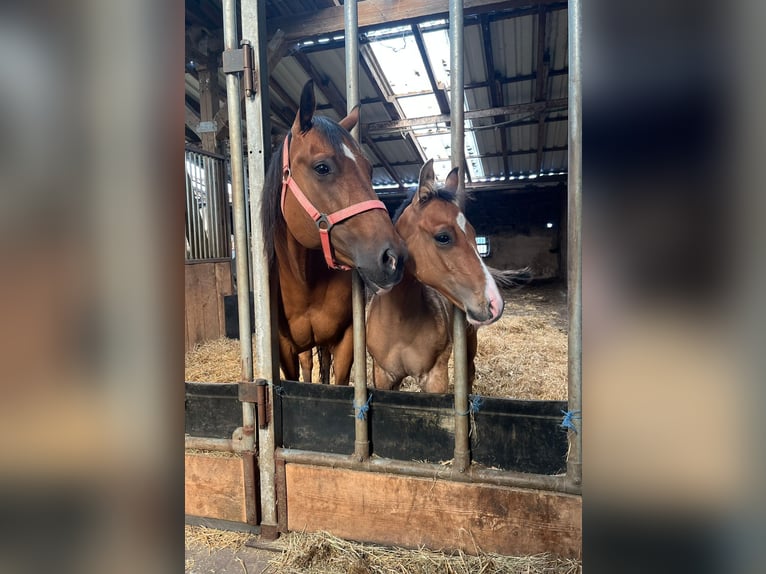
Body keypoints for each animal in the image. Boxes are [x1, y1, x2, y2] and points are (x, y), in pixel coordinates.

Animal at [264, 81, 408, 384]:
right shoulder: (284, 350)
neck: (304, 280)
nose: (394, 257)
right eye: (322, 167)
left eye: (369, 169)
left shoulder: (346, 342)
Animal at [368, 160, 528, 394]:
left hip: (470, 341)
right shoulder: (383, 377)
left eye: (474, 234)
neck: (400, 323)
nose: (495, 303)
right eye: (443, 237)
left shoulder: (435, 376)